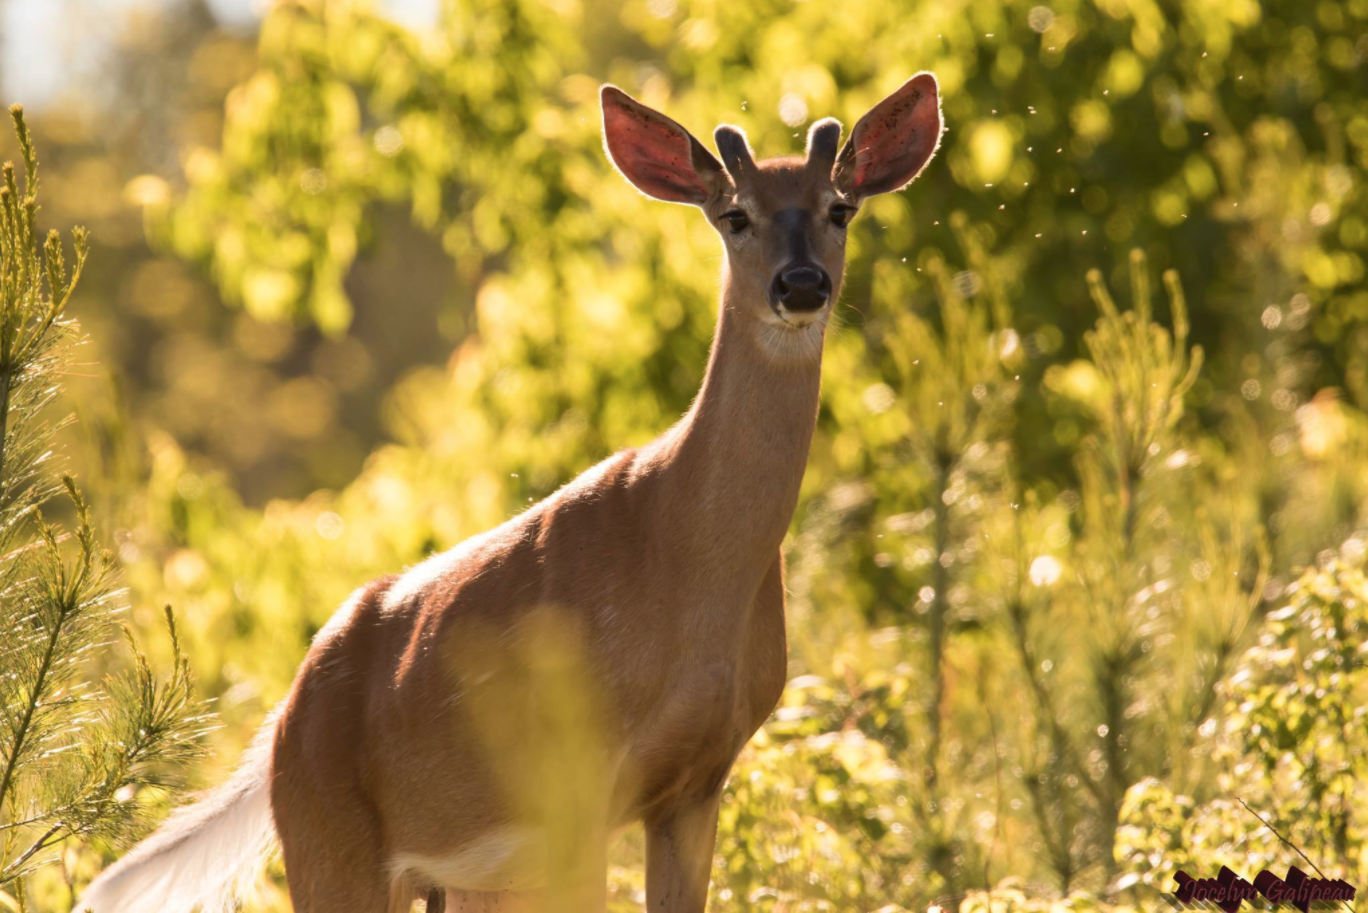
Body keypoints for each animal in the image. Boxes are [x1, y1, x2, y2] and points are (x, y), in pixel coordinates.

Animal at [80, 73, 946, 913]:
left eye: (840, 208)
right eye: (735, 215)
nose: (800, 285)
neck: (689, 558)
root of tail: (280, 722)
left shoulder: (696, 782)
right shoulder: (573, 778)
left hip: (469, 878)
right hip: (328, 836)